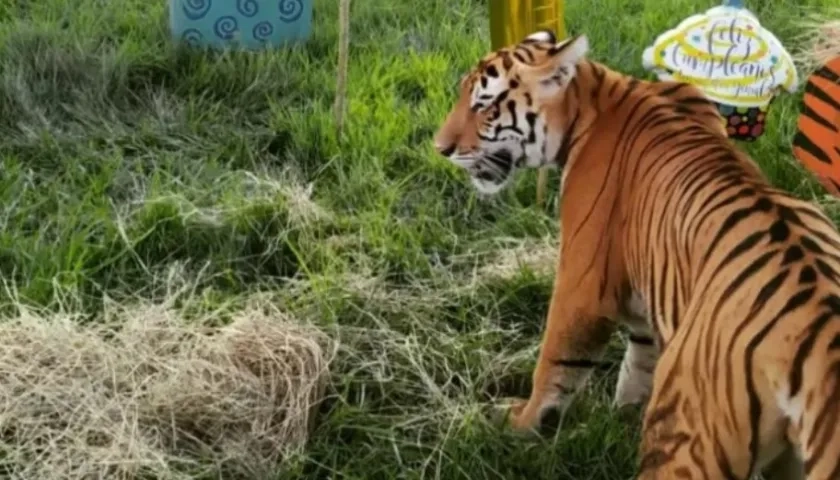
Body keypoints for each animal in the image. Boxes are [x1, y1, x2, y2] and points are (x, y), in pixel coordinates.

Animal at [436, 30, 840, 480]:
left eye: (484, 106)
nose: (441, 148)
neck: (592, 95)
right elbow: (638, 360)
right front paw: (622, 416)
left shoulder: (582, 283)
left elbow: (556, 361)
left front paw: (520, 422)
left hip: (687, 434)